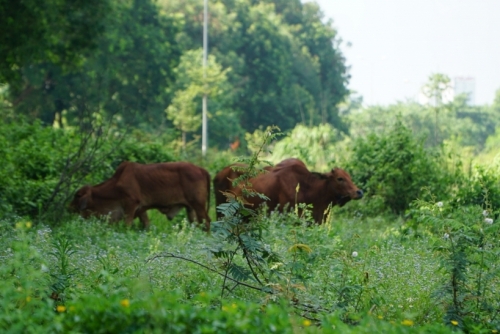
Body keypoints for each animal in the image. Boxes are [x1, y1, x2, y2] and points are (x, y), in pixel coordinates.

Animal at [69, 161, 210, 230]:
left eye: (77, 196)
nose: (69, 207)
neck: (116, 184)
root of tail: (201, 169)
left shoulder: (131, 204)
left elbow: (127, 225)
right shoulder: (142, 209)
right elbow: (146, 225)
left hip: (198, 205)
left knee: (207, 222)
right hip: (190, 208)